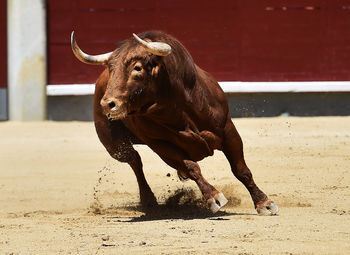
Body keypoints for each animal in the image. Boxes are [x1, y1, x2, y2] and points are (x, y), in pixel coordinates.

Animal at [72, 31, 278, 215]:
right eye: (111, 68)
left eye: (137, 68)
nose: (108, 104)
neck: (178, 108)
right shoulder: (161, 146)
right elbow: (192, 167)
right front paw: (213, 197)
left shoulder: (228, 131)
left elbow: (241, 170)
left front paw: (264, 203)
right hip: (115, 146)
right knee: (135, 161)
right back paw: (149, 201)